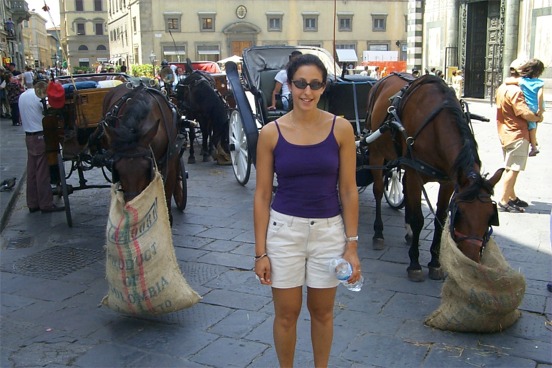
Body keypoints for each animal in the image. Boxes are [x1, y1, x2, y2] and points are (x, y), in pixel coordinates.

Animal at [366, 73, 504, 284]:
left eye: (491, 216)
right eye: (461, 213)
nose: (472, 260)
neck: (436, 126)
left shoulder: (448, 181)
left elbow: (440, 218)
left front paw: (435, 262)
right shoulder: (415, 174)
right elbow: (419, 219)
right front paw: (415, 264)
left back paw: (408, 232)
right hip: (376, 152)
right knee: (379, 190)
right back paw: (378, 233)